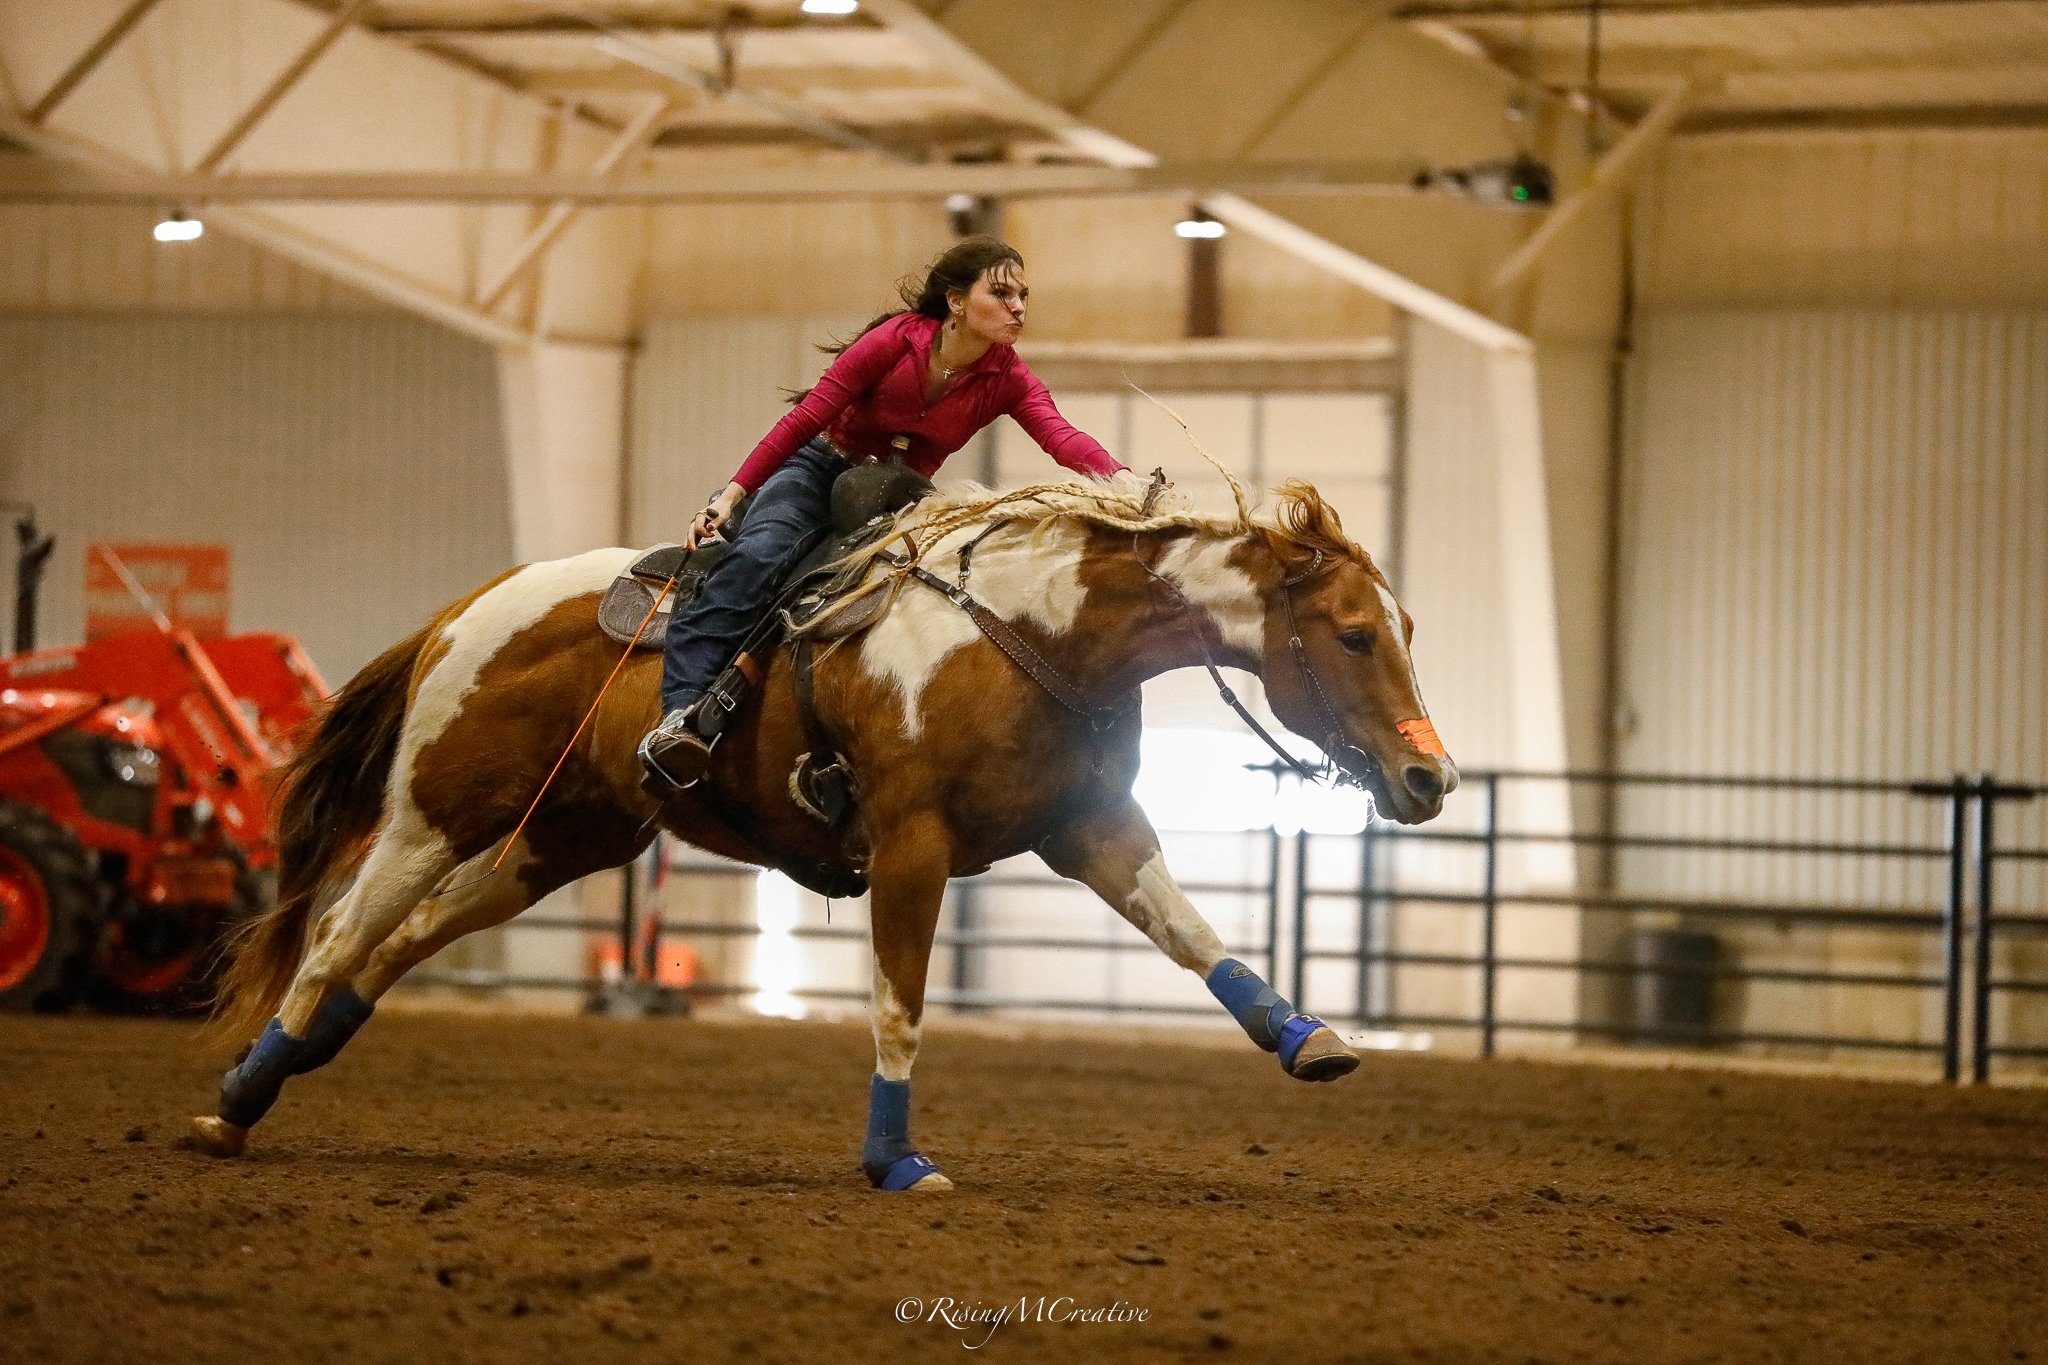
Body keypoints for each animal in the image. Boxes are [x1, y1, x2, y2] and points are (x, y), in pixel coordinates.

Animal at [192, 471, 1457, 1191]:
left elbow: (1195, 938)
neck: (1032, 632)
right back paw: (238, 1098)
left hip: (565, 840)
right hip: (431, 815)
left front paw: (1307, 1038)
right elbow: (899, 1004)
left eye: (1402, 626)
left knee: (398, 946)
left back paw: (282, 1073)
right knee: (336, 938)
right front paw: (894, 1159)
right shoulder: (910, 844)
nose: (1428, 776)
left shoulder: (1091, 827)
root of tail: (467, 607)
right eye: (1351, 634)